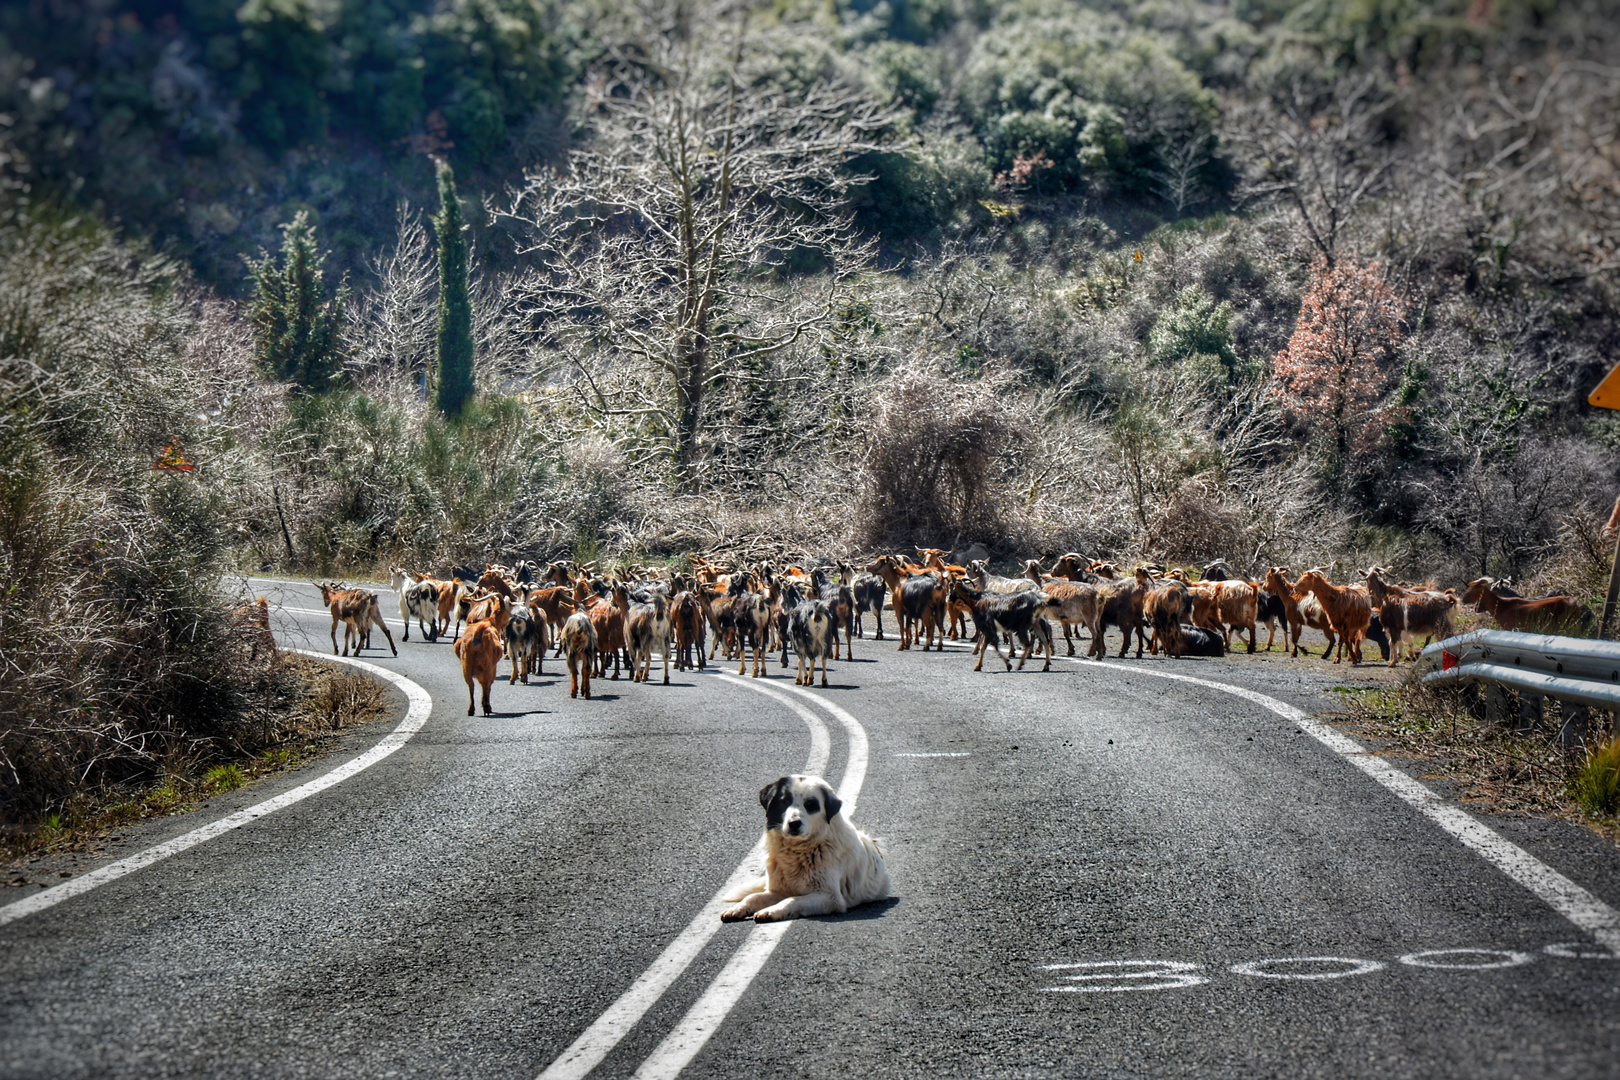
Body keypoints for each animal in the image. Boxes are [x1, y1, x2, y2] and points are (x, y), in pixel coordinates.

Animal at [725, 773, 894, 926]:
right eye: (784, 802)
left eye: (811, 805)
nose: (794, 823)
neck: (797, 850)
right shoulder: (777, 891)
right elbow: (753, 897)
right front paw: (737, 908)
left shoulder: (829, 897)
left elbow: (792, 900)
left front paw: (771, 911)